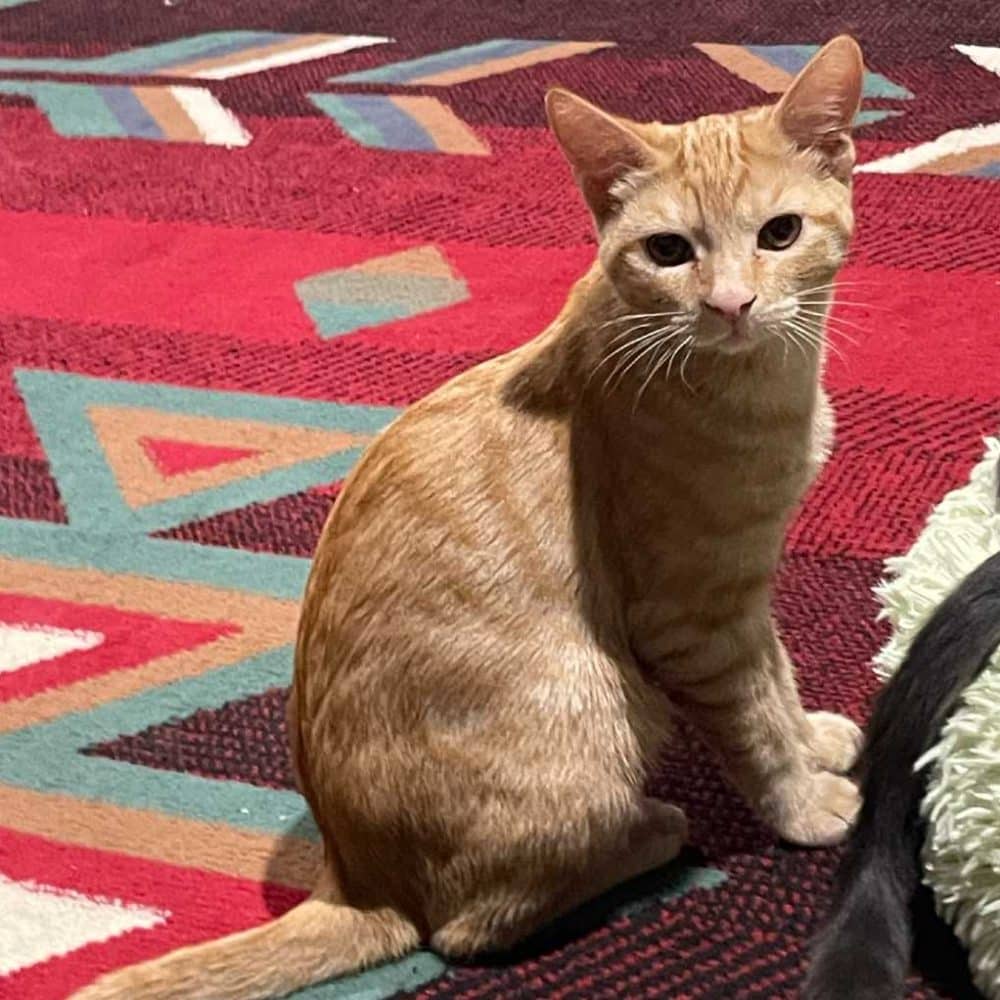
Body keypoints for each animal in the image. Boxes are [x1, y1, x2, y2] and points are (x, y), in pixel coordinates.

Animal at [73, 35, 866, 1000]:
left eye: (778, 234)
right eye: (670, 250)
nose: (730, 305)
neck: (762, 386)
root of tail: (356, 876)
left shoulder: (746, 594)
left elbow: (778, 678)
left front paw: (816, 738)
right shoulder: (694, 616)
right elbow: (754, 724)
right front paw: (805, 803)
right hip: (590, 712)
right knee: (468, 926)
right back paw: (653, 833)